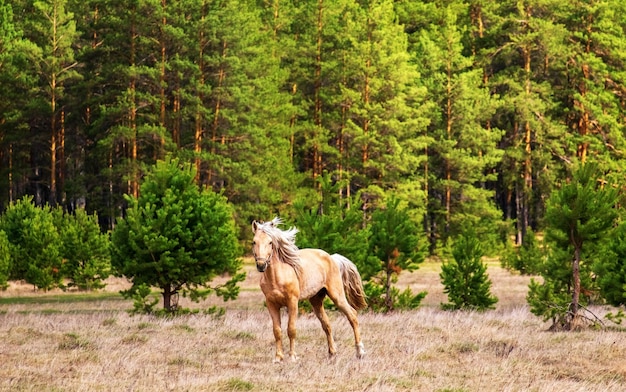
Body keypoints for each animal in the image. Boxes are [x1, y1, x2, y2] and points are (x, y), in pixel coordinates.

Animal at [249, 217, 366, 362]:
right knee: (327, 325)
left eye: (270, 242)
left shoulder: (292, 302)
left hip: (337, 296)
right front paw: (278, 358)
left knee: (352, 316)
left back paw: (360, 352)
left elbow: (291, 329)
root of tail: (332, 258)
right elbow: (277, 331)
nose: (261, 265)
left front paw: (292, 356)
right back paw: (332, 353)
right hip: (316, 301)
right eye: (254, 241)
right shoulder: (271, 304)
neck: (277, 277)